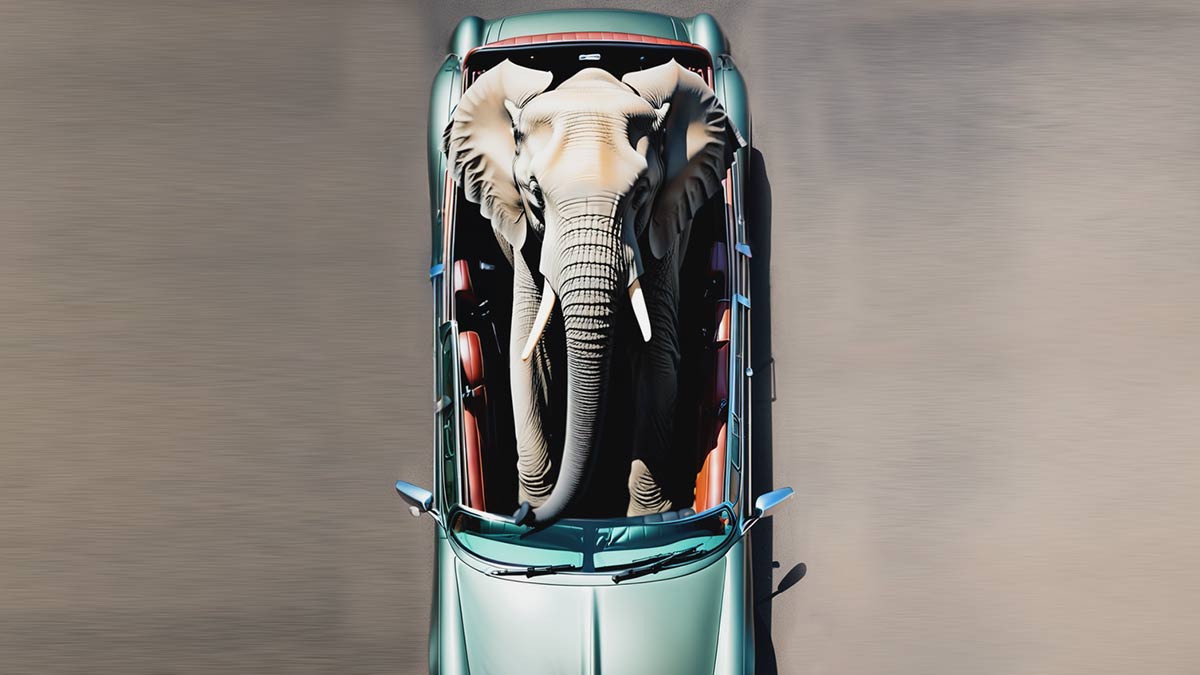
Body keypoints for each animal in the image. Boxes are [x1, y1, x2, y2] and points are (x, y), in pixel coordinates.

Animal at [443, 58, 742, 526]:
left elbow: (656, 357)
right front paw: (531, 504)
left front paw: (649, 518)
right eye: (535, 193)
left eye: (641, 193)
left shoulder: (660, 227)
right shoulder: (527, 238)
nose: (525, 518)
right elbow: (530, 356)